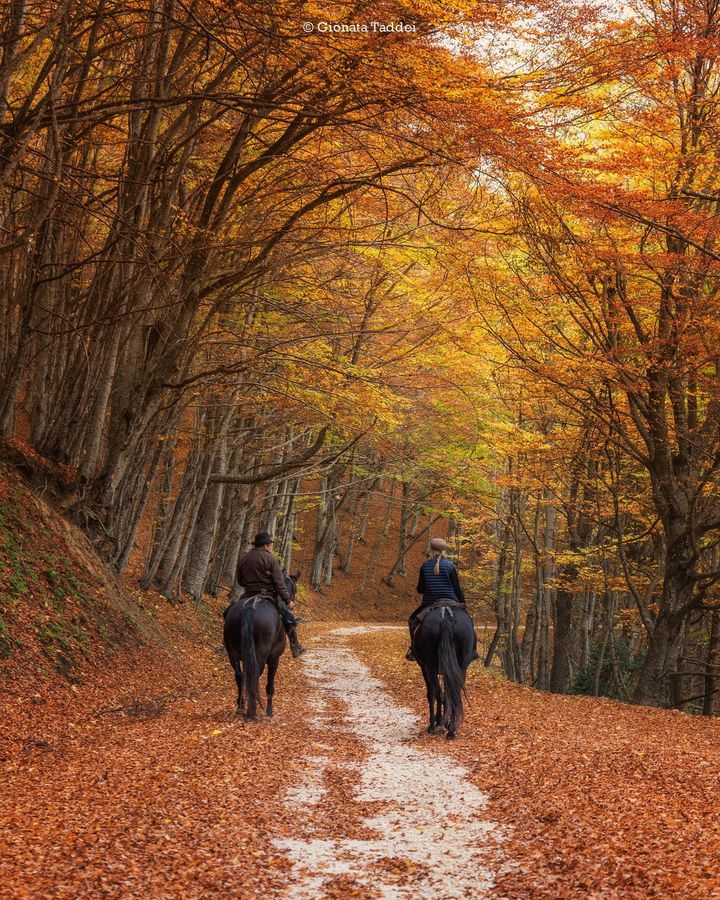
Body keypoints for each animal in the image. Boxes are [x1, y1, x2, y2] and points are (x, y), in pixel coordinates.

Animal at [221, 576, 296, 716]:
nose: (291, 604)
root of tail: (249, 608)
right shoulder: (274, 659)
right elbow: (270, 685)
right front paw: (269, 711)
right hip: (259, 656)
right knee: (253, 677)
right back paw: (252, 710)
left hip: (232, 653)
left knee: (240, 675)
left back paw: (241, 706)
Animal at [414, 604, 476, 740]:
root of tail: (446, 616)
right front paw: (444, 722)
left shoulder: (424, 668)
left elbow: (432, 694)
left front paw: (435, 723)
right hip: (461, 668)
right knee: (453, 693)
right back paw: (451, 731)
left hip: (430, 668)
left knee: (437, 693)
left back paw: (437, 725)